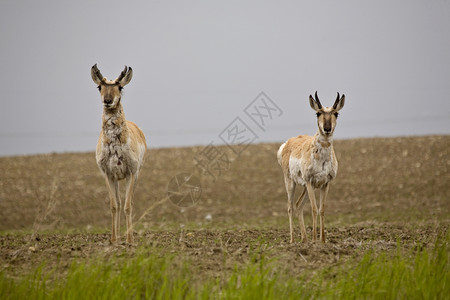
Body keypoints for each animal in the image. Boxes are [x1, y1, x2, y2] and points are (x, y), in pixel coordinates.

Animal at [90, 63, 147, 244]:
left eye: (120, 86)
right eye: (99, 86)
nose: (107, 101)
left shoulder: (130, 173)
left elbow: (128, 206)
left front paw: (130, 240)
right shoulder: (108, 174)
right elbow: (114, 206)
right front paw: (114, 239)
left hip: (136, 175)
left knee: (129, 203)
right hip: (117, 178)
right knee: (119, 203)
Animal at [276, 92, 346, 244]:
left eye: (336, 113)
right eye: (318, 113)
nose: (327, 129)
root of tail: (287, 143)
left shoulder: (325, 183)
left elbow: (322, 209)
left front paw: (322, 241)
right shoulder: (309, 181)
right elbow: (314, 209)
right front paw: (315, 240)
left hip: (307, 188)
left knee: (298, 205)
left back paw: (304, 239)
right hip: (291, 183)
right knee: (290, 207)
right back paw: (292, 241)